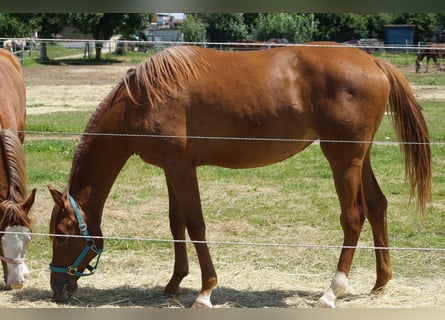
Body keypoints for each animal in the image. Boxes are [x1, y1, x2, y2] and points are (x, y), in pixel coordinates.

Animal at [46, 43, 430, 308]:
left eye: (62, 237)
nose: (58, 289)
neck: (141, 99)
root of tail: (373, 61)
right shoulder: (171, 169)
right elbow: (176, 223)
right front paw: (174, 283)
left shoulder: (182, 168)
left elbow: (196, 225)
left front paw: (205, 291)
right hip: (359, 159)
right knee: (377, 206)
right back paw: (380, 284)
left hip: (342, 160)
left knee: (353, 217)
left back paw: (331, 293)